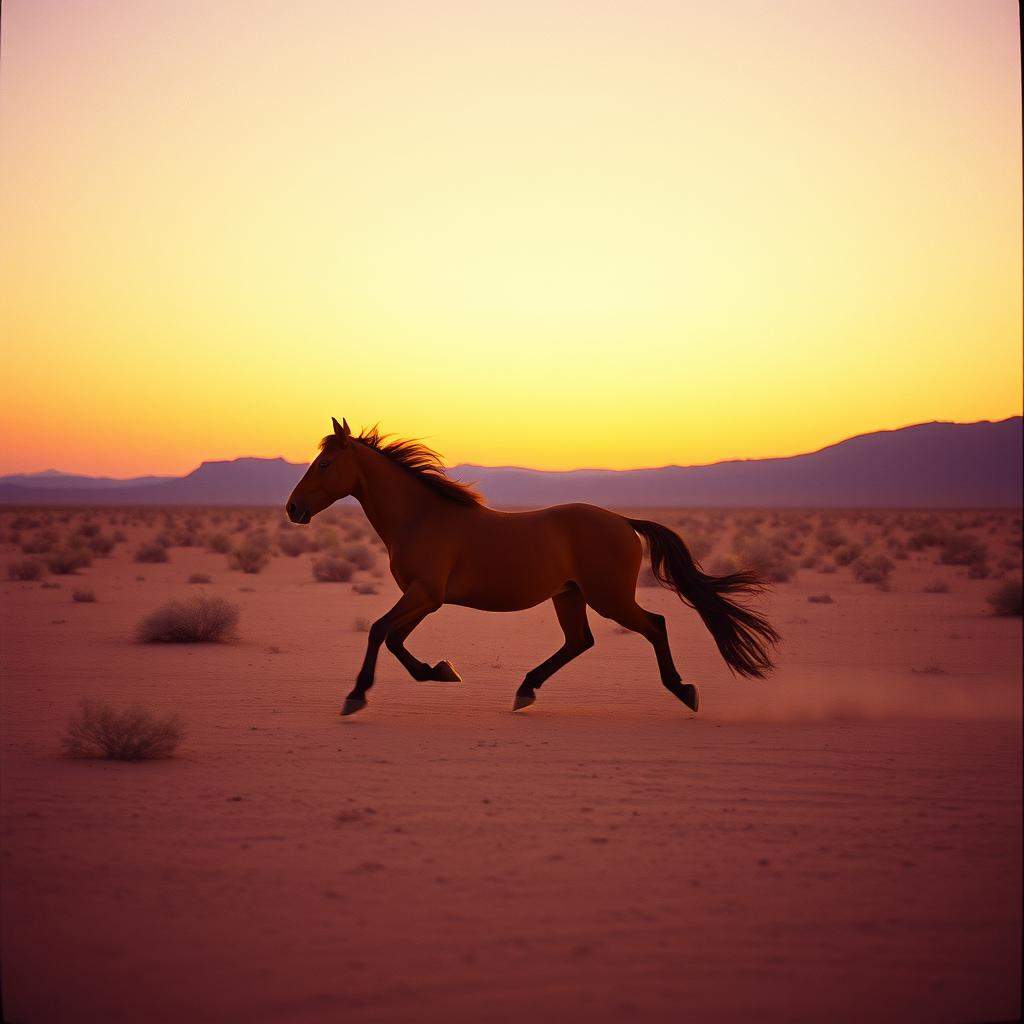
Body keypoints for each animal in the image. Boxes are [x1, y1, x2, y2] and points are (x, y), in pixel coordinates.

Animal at [286, 417, 779, 717]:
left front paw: (356, 695)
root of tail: (623, 521)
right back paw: (526, 689)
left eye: (325, 463)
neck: (420, 516)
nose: (293, 508)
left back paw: (683, 690)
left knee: (654, 625)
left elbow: (378, 632)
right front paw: (442, 671)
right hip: (570, 595)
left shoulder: (424, 594)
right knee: (580, 641)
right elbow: (394, 639)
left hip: (609, 598)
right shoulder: (426, 599)